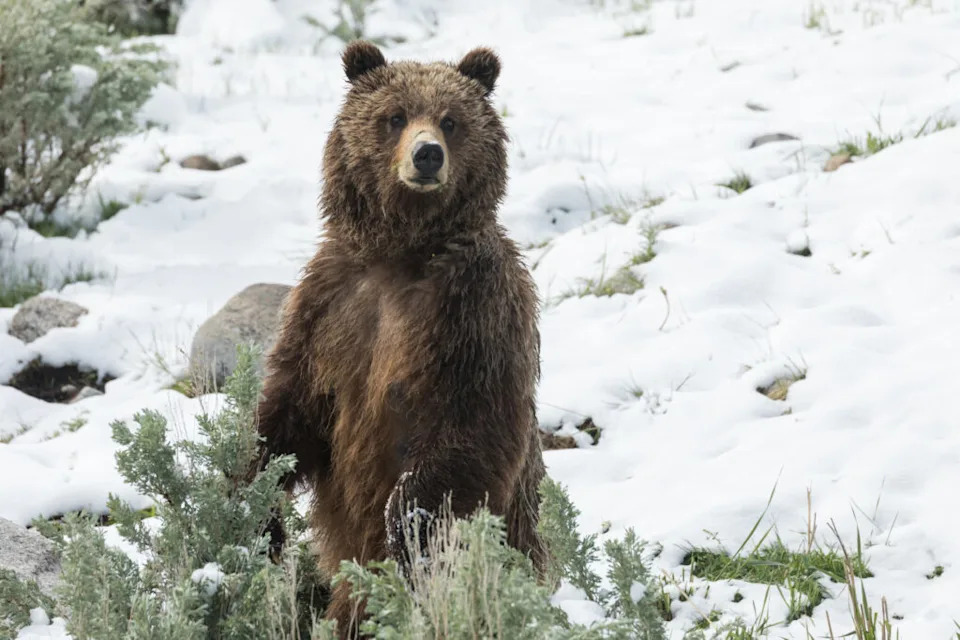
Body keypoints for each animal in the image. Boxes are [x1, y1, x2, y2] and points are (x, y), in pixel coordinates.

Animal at [254, 41, 548, 636]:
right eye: (395, 116)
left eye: (451, 120)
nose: (427, 154)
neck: (403, 253)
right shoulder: (331, 307)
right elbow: (290, 411)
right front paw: (256, 507)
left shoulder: (473, 313)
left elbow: (466, 433)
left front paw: (406, 527)